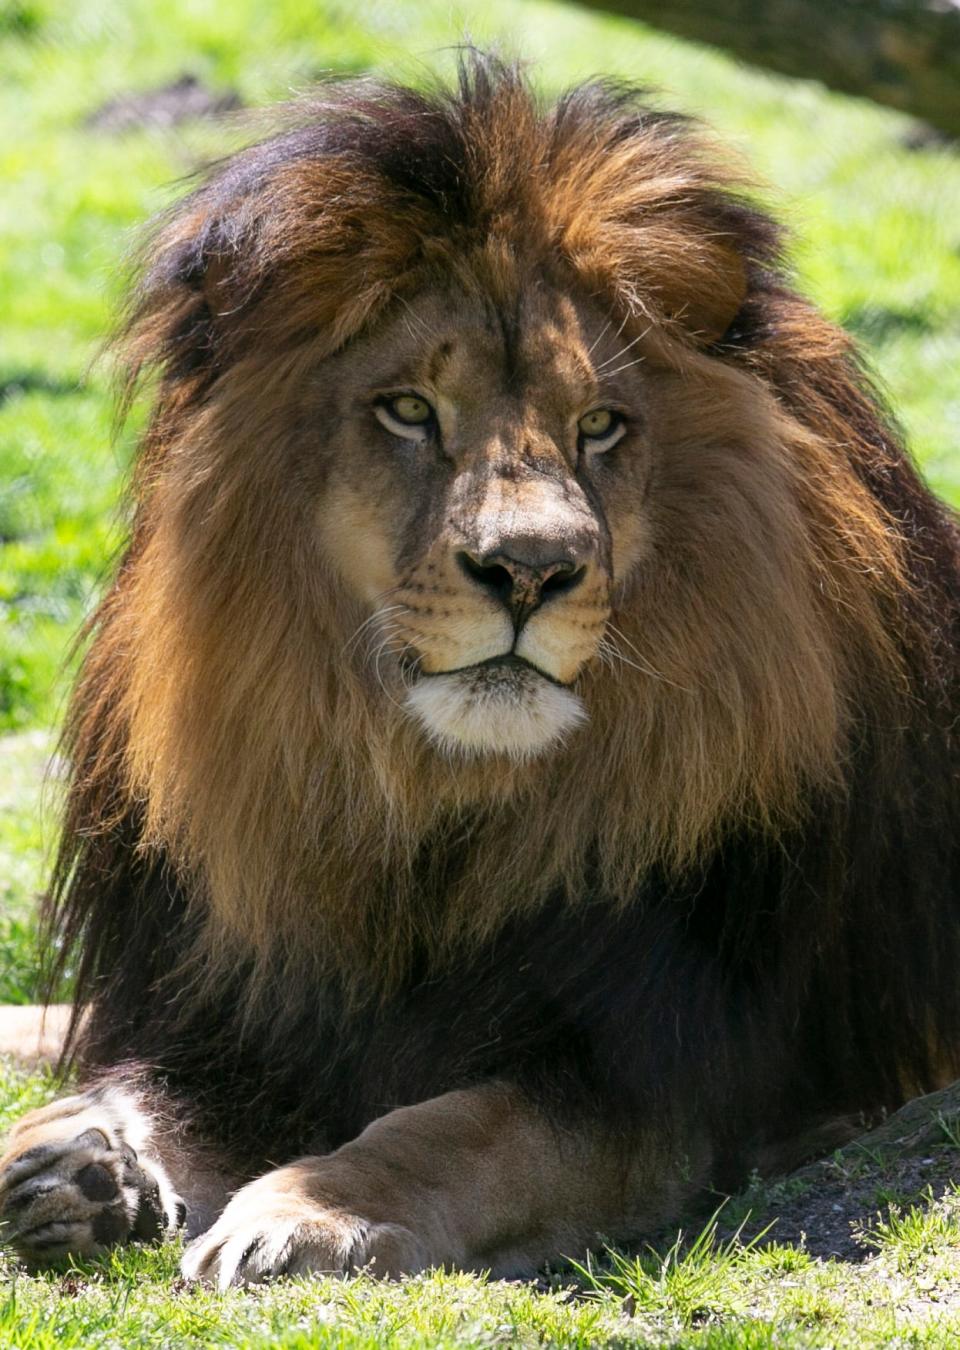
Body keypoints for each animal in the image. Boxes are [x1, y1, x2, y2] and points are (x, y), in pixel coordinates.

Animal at [1, 52, 960, 1279]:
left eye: (600, 426)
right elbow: (140, 1084)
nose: (531, 568)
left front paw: (303, 1211)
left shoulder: (653, 1076)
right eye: (409, 410)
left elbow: (460, 1127)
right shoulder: (238, 1012)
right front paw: (78, 1161)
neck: (432, 807)